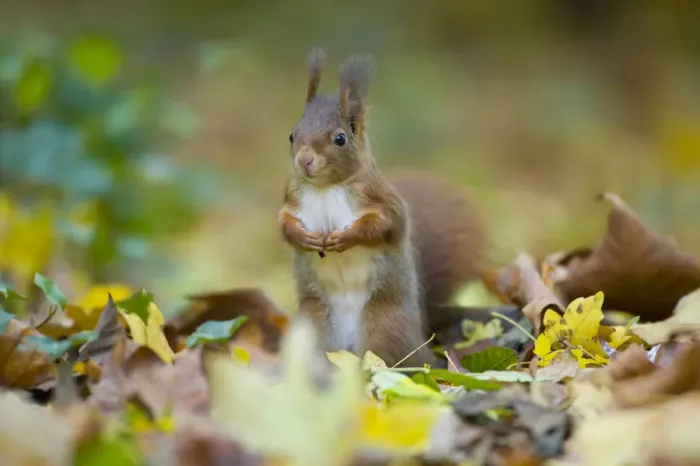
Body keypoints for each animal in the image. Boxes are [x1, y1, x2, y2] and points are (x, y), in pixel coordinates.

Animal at [278, 48, 486, 367]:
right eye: (292, 135)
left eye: (340, 138)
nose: (304, 159)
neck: (325, 187)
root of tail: (420, 339)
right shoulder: (291, 197)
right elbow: (284, 223)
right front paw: (304, 237)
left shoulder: (380, 197)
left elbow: (386, 223)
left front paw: (346, 237)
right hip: (312, 325)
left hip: (383, 324)